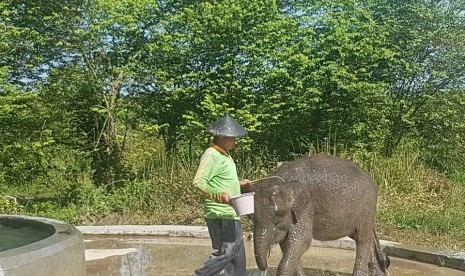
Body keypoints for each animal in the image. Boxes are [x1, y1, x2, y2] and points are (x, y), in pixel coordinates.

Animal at [245, 154, 390, 276]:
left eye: (278, 219)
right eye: (251, 218)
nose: (264, 268)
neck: (285, 182)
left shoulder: (305, 208)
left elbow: (301, 241)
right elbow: (288, 244)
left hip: (367, 207)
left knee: (362, 240)